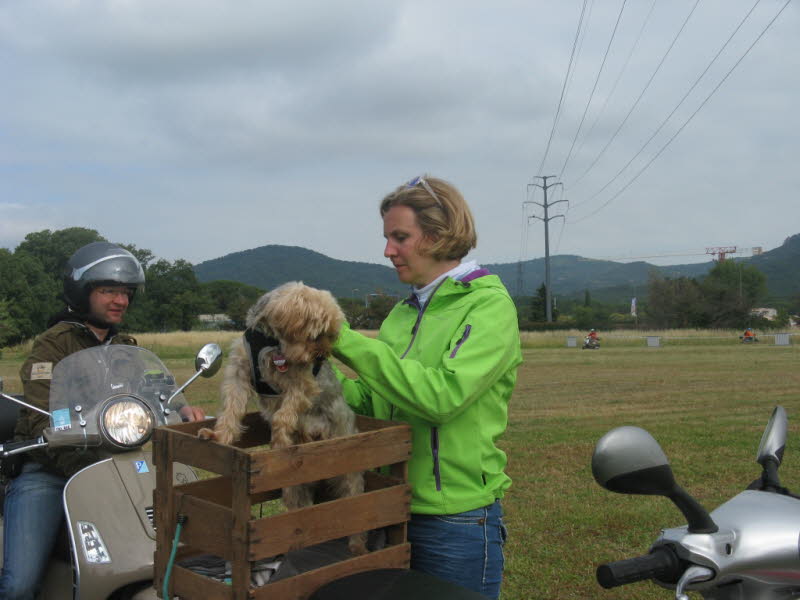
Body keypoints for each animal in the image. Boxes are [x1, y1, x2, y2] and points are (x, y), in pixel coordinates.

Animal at [198, 284, 368, 556]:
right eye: (316, 335)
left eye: (329, 336)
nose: (321, 357)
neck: (271, 340)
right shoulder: (239, 373)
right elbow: (231, 410)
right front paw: (219, 436)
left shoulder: (300, 384)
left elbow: (282, 416)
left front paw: (278, 444)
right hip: (293, 487)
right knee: (299, 510)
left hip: (349, 474)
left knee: (356, 509)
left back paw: (358, 547)